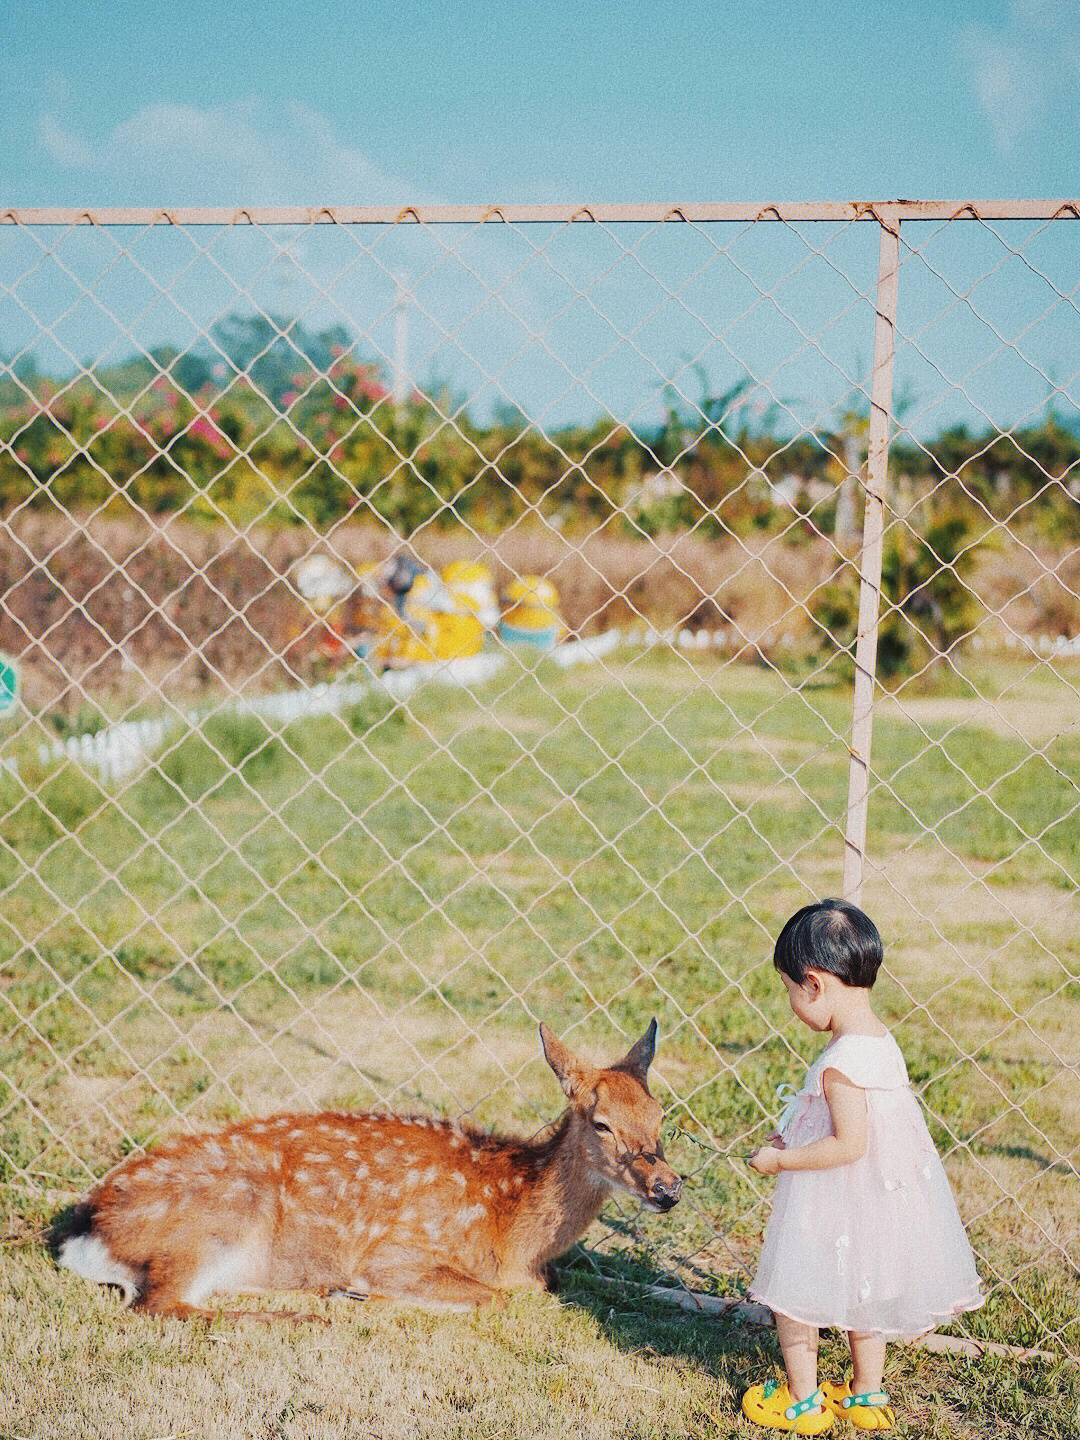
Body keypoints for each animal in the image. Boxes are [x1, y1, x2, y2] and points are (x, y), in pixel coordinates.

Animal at [59, 1019, 679, 1319]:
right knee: (161, 1306)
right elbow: (492, 1298)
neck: (509, 1227)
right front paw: (359, 1295)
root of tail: (84, 1229)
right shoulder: (398, 1249)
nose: (667, 1187)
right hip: (223, 1214)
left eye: (660, 1115)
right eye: (601, 1124)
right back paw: (311, 1311)